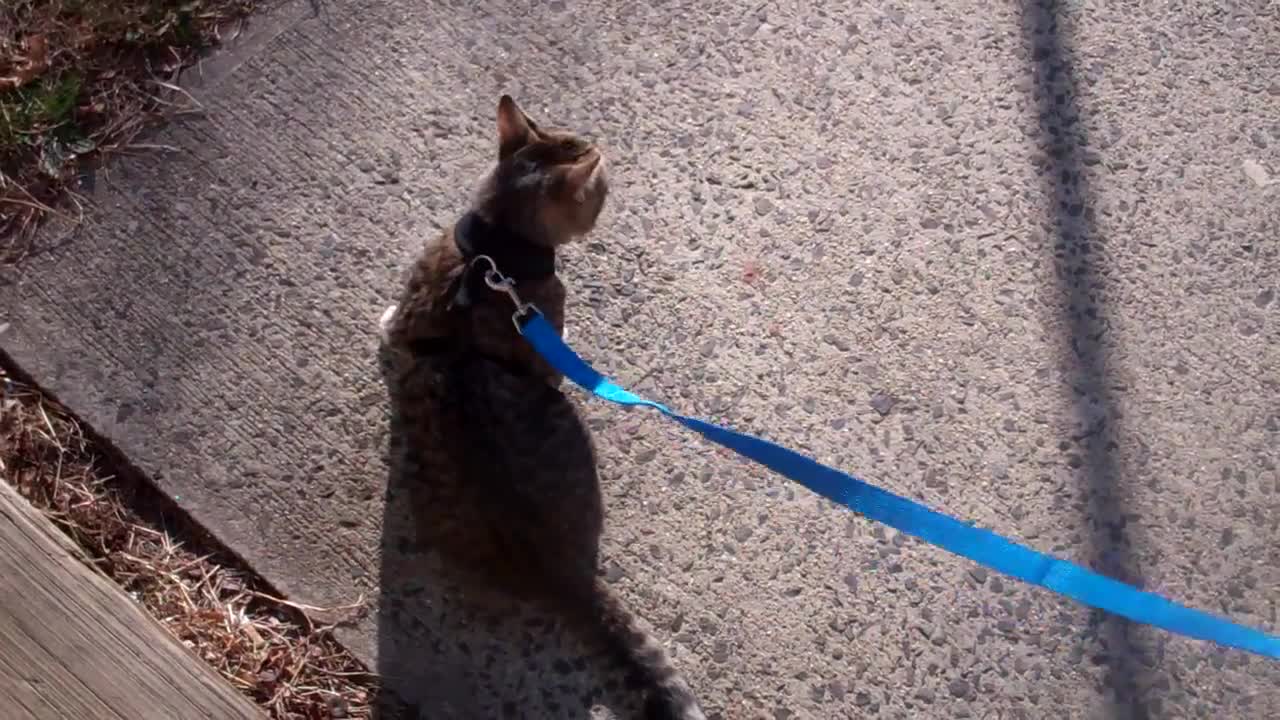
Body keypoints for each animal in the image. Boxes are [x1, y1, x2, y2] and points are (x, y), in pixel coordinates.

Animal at [373, 95, 706, 717]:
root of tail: (569, 573)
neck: (492, 257)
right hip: (565, 420)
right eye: (601, 193)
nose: (610, 195)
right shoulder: (543, 338)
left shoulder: (407, 316)